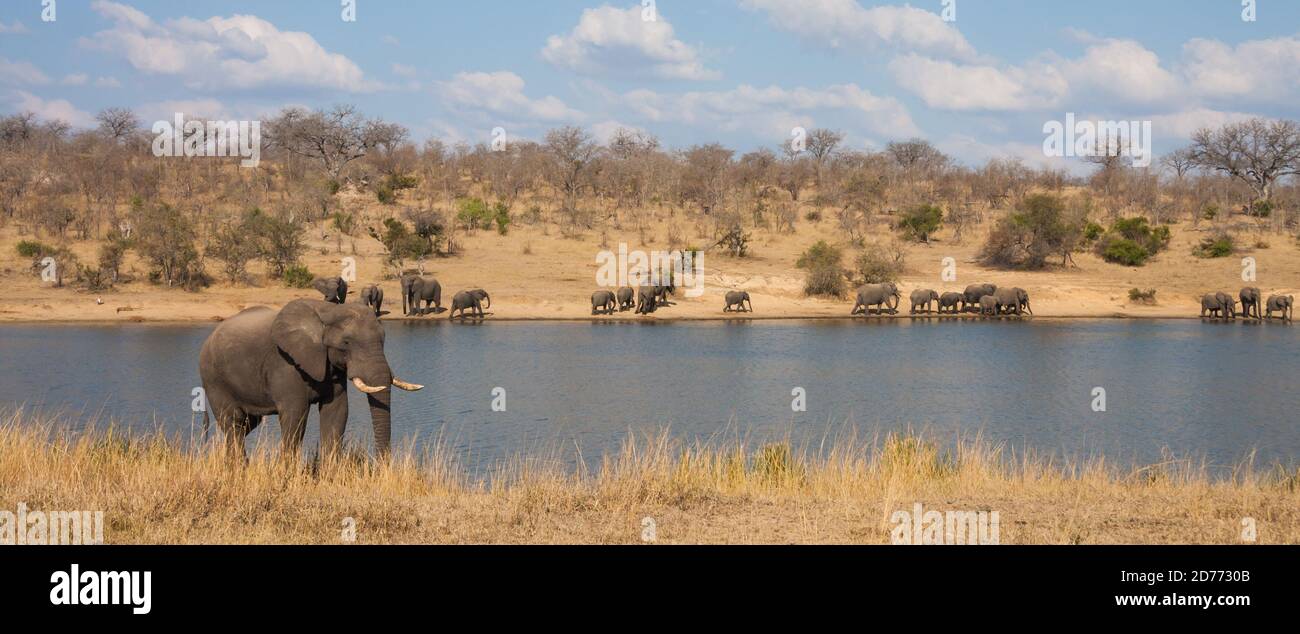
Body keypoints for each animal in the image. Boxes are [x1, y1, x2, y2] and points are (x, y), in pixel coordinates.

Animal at [195, 300, 423, 457]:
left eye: (383, 340)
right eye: (347, 343)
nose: (381, 467)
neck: (327, 310)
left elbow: (337, 411)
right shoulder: (286, 363)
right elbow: (295, 414)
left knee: (246, 424)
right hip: (213, 377)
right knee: (232, 422)